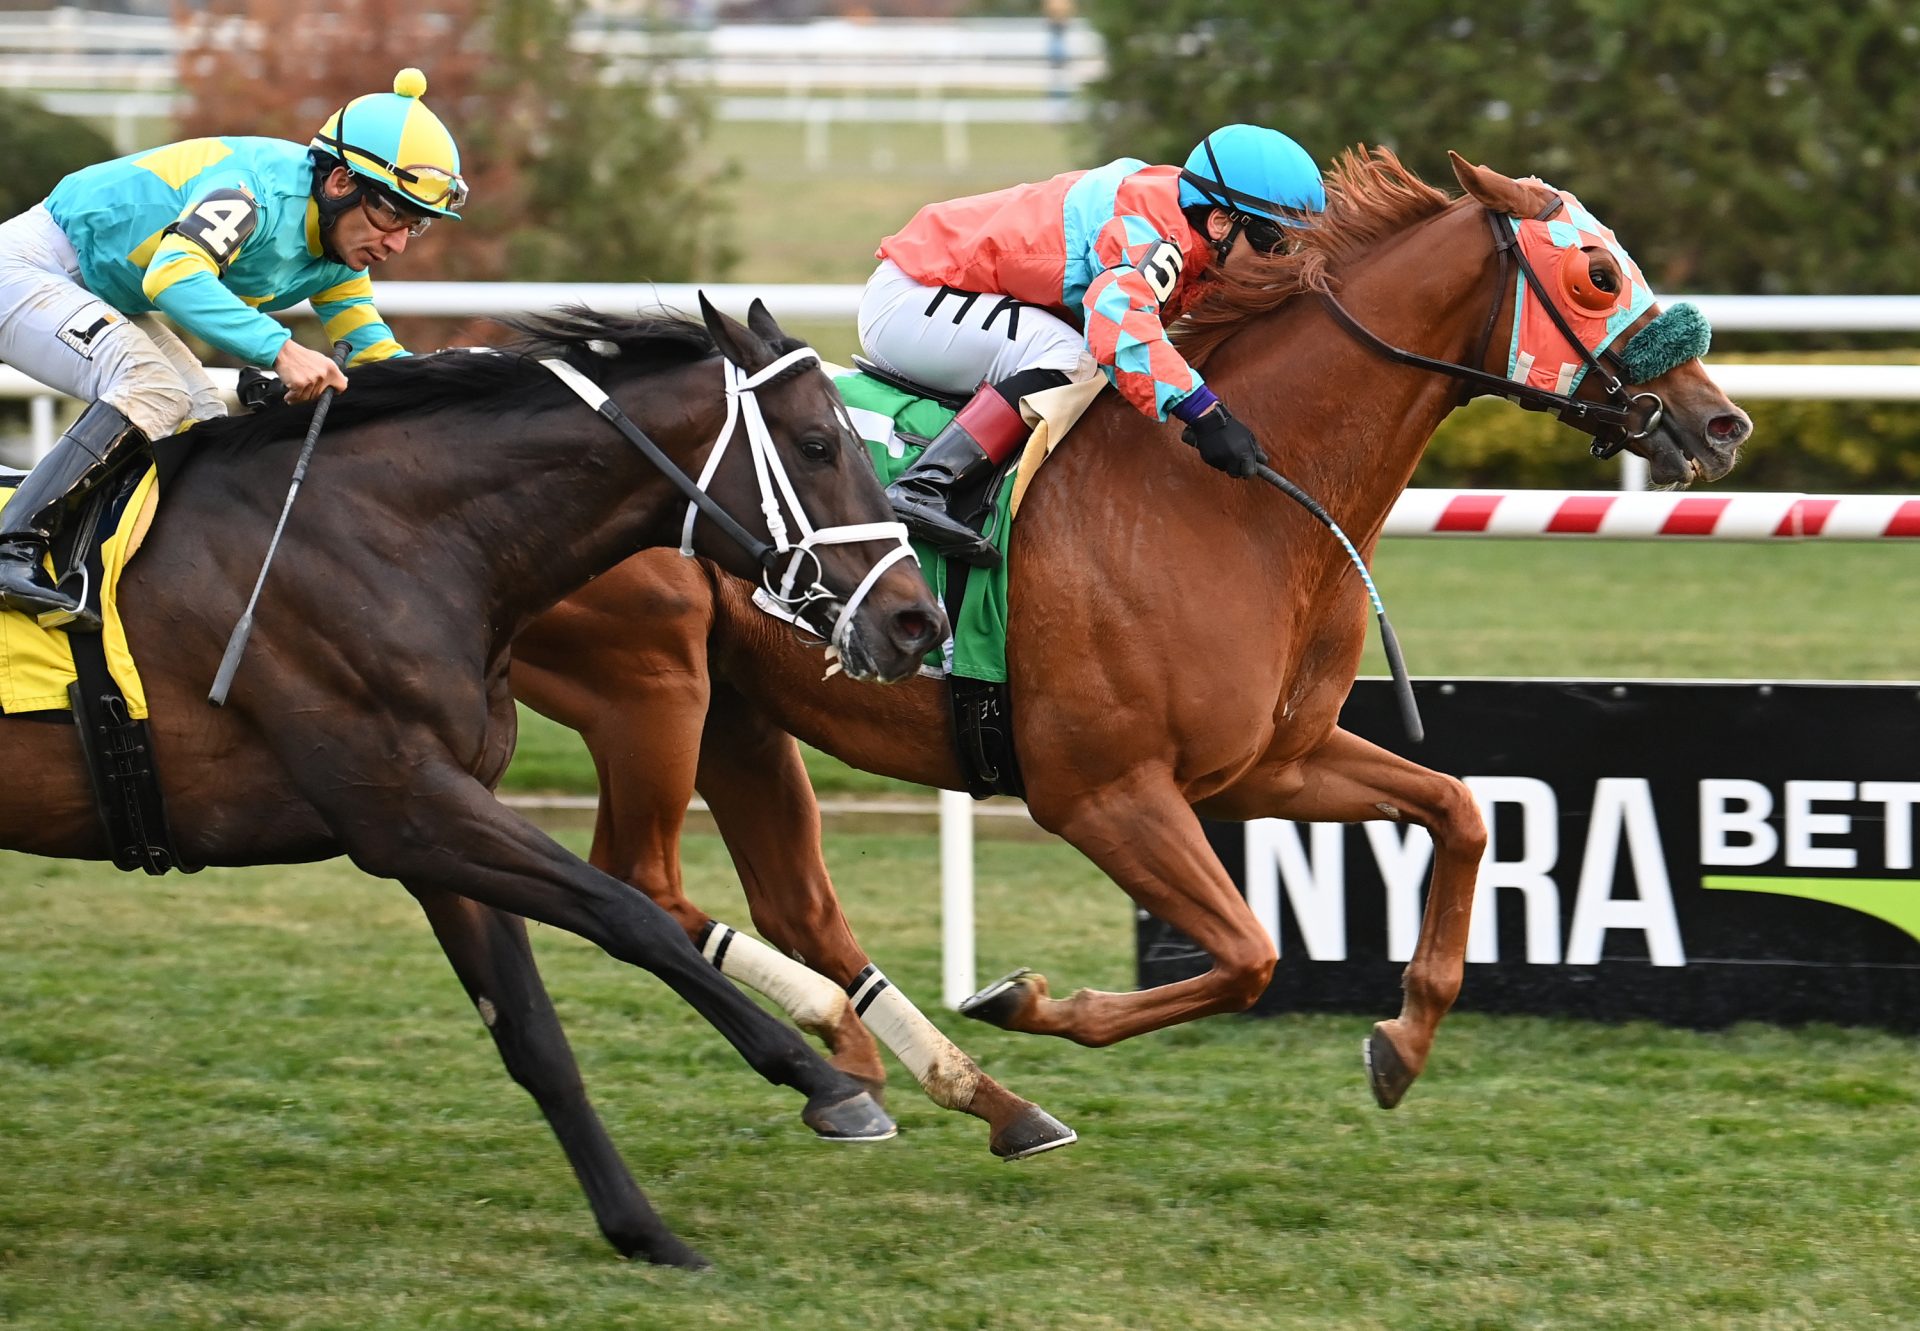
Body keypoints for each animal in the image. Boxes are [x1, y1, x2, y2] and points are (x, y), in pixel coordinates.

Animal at [0, 297, 948, 1267]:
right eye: (818, 445)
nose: (918, 620)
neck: (390, 541)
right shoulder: (407, 808)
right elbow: (631, 915)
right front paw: (827, 1083)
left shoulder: (442, 825)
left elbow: (534, 1035)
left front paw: (643, 1228)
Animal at [510, 150, 1758, 1137]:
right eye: (1599, 273)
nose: (1722, 420)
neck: (1235, 503)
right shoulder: (1101, 790)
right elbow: (1249, 953)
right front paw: (1026, 999)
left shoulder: (1271, 762)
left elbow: (1459, 810)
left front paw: (1403, 1039)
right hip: (648, 682)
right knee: (640, 879)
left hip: (737, 707)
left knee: (788, 903)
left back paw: (920, 1079)